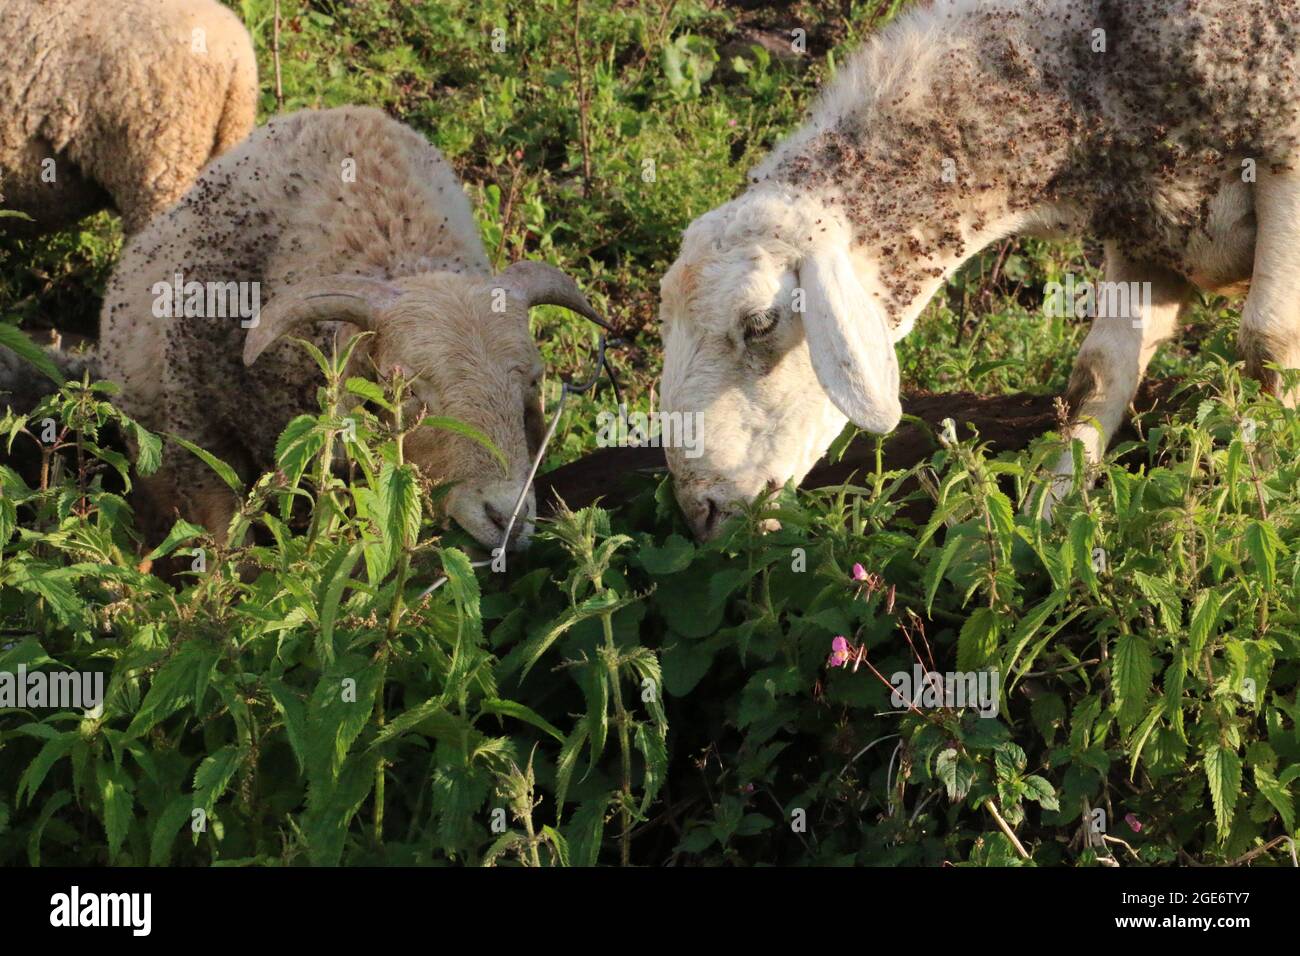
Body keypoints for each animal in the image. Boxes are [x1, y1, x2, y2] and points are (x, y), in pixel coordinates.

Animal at [660, 0, 1300, 538]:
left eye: (760, 323)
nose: (702, 512)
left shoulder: (1283, 159)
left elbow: (1267, 341)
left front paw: (1269, 498)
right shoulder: (1148, 230)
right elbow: (1099, 371)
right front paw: (1050, 518)